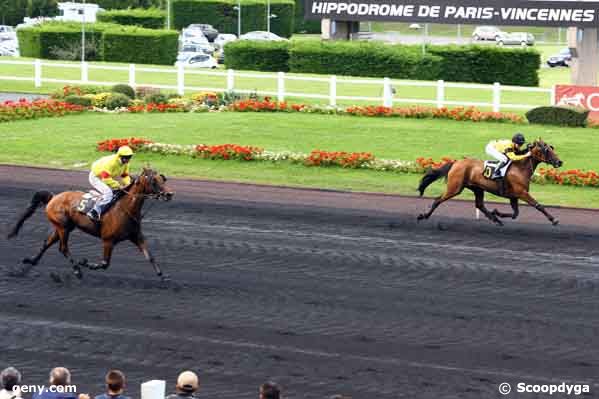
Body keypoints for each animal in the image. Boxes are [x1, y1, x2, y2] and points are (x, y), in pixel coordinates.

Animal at [8, 169, 175, 282]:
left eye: (163, 179)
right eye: (154, 181)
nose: (169, 194)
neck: (125, 209)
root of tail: (53, 197)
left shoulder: (136, 236)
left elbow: (150, 256)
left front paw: (163, 276)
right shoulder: (108, 240)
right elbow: (105, 263)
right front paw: (85, 263)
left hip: (63, 227)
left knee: (47, 243)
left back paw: (30, 261)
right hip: (63, 228)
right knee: (63, 248)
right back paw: (77, 270)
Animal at [418, 141, 564, 227]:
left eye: (552, 148)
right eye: (547, 150)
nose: (559, 162)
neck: (520, 168)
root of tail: (456, 162)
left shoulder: (514, 196)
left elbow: (515, 213)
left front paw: (497, 213)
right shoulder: (522, 193)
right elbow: (538, 205)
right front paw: (554, 220)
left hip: (477, 188)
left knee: (480, 204)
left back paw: (495, 219)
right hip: (455, 187)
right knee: (438, 199)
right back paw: (423, 215)